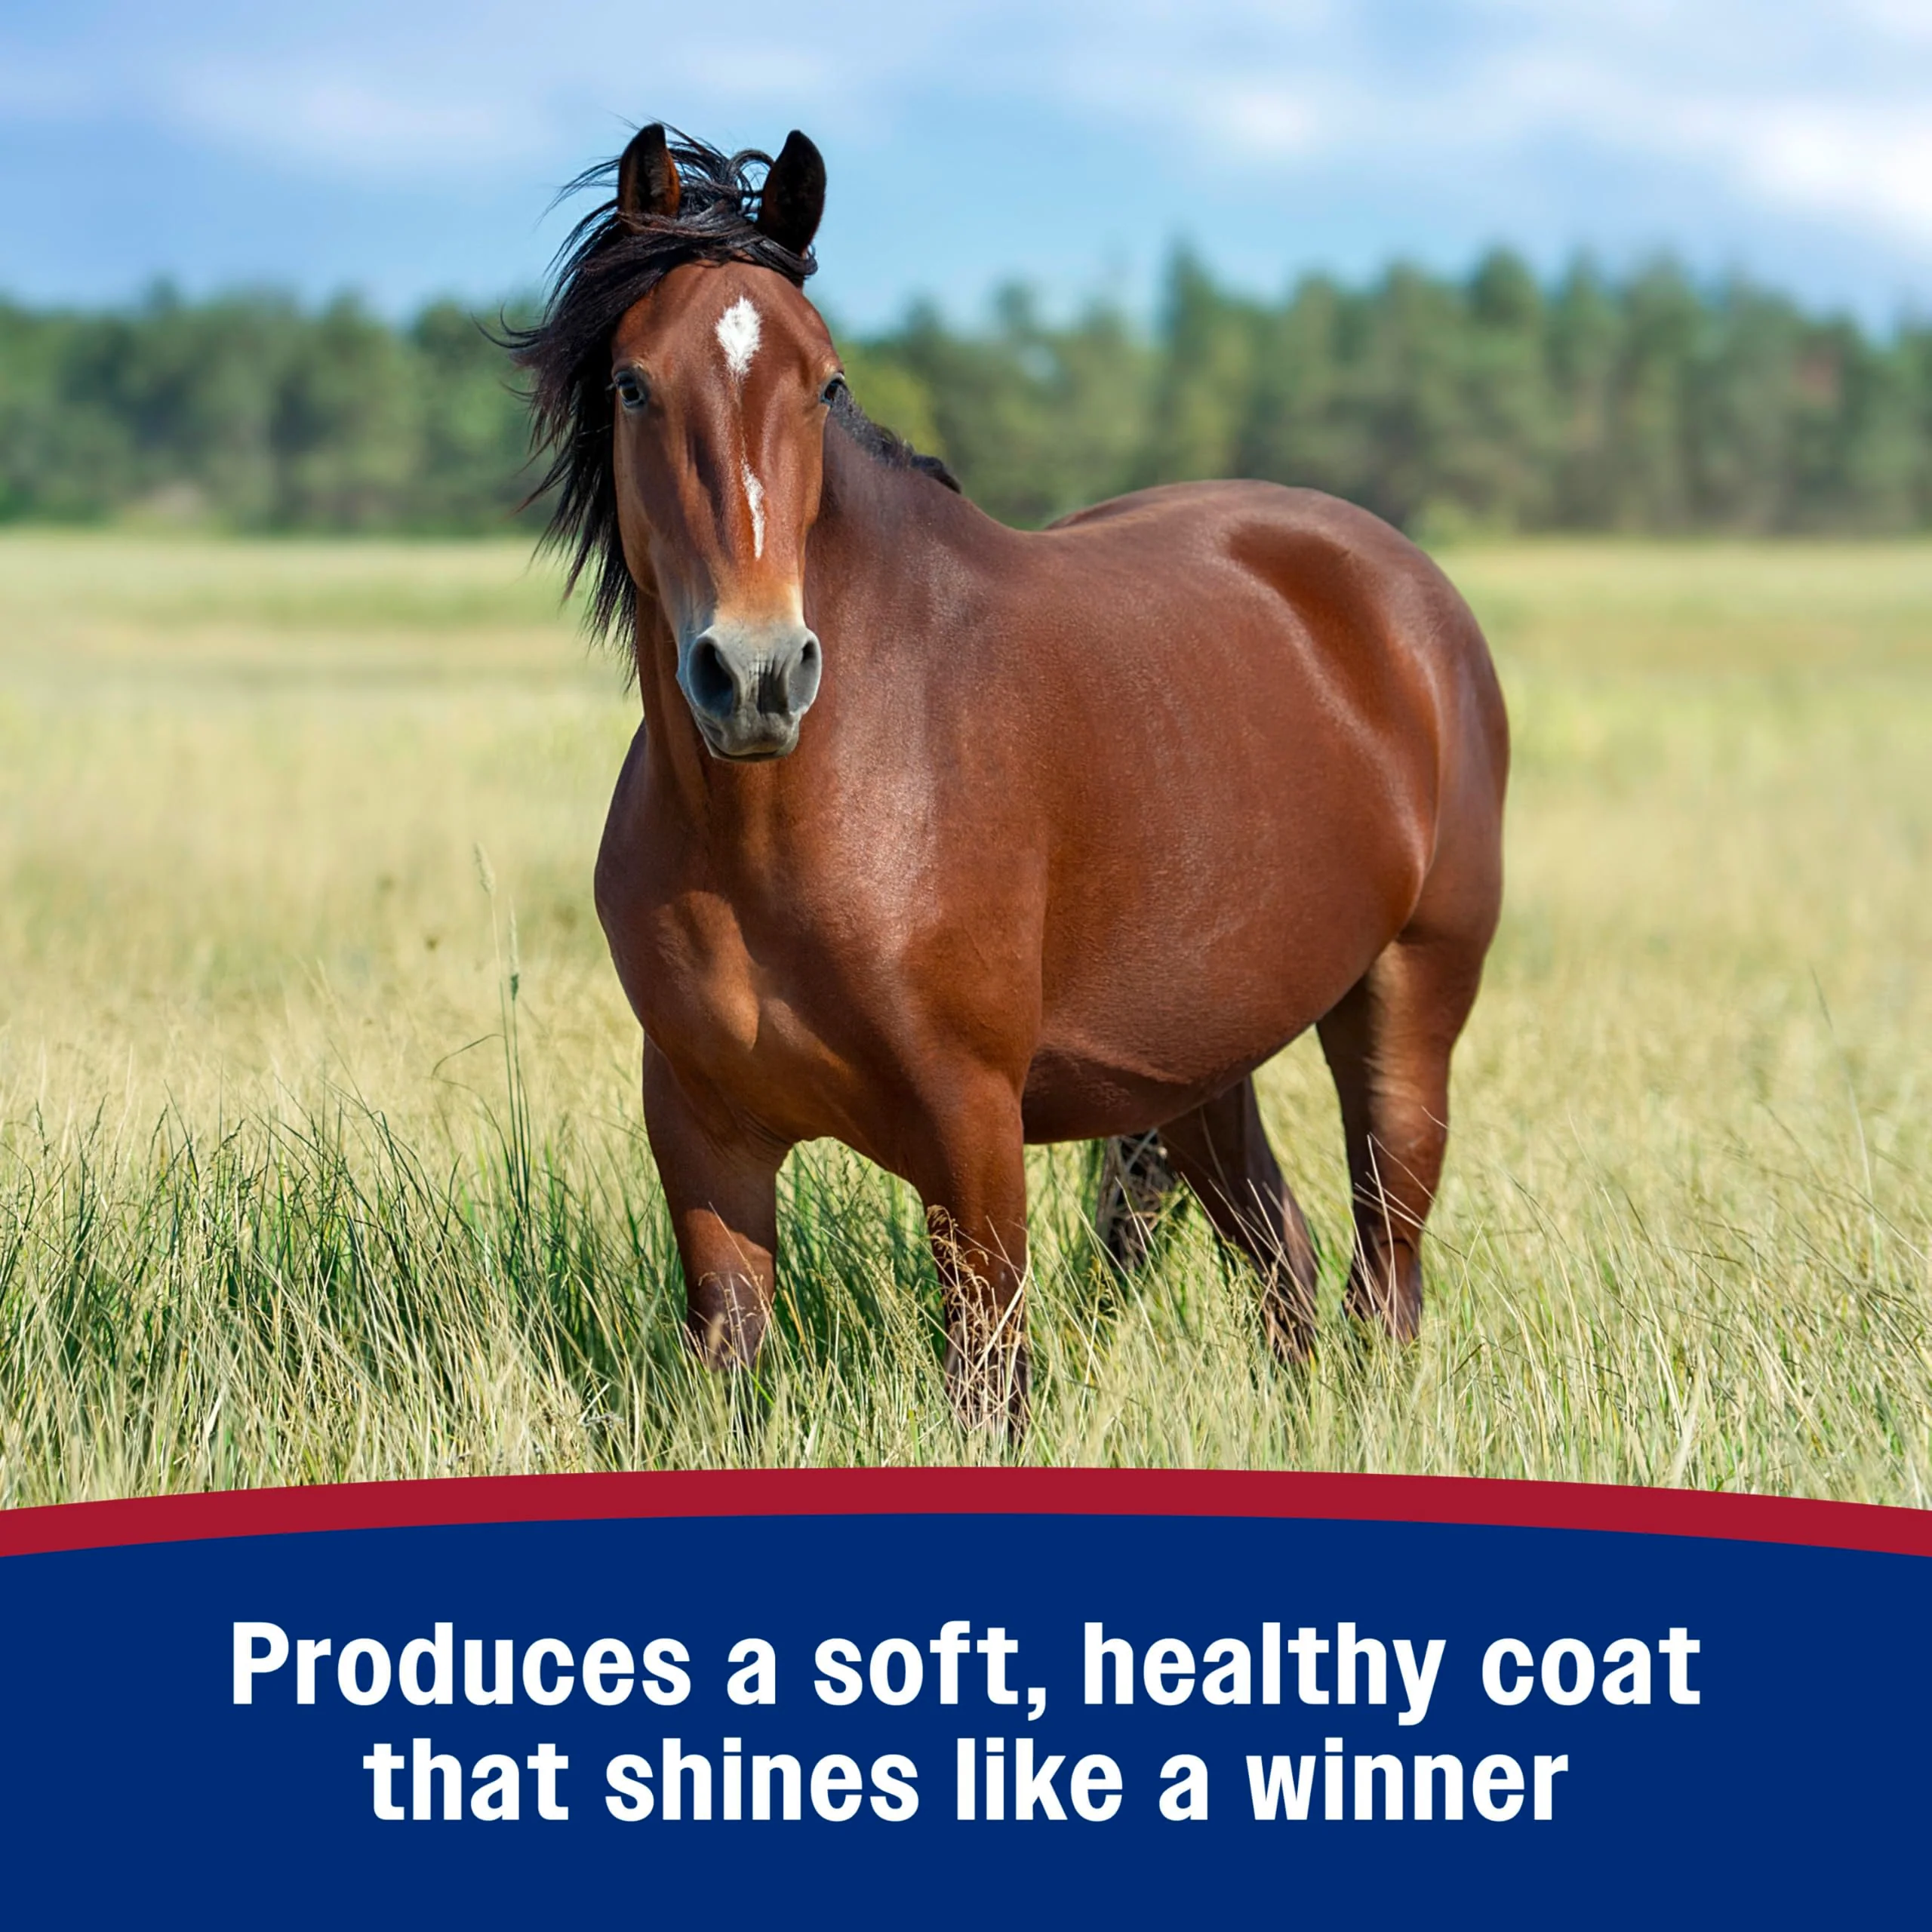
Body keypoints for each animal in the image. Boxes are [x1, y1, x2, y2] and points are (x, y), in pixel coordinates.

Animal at [513, 126, 1509, 1430]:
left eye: (824, 384)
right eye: (633, 384)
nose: (758, 674)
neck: (786, 819)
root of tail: (1411, 595)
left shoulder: (971, 1129)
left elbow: (990, 1387)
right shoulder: (702, 1132)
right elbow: (730, 1366)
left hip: (1408, 1006)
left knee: (1382, 1272)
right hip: (1201, 1073)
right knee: (1286, 1270)